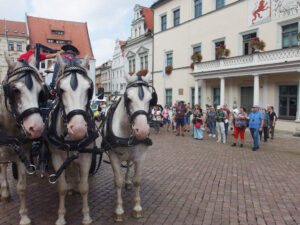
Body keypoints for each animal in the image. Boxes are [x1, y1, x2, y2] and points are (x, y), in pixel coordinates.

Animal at [0, 53, 44, 225]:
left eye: (41, 91)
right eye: (15, 90)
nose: (36, 127)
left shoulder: (22, 155)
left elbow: (22, 187)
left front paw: (24, 216)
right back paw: (5, 193)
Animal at [46, 55, 97, 225]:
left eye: (89, 89)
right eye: (60, 90)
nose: (79, 129)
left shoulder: (87, 157)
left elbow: (84, 186)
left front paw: (86, 216)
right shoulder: (56, 157)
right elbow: (61, 187)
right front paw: (61, 217)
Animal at [103, 72, 156, 221]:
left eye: (151, 100)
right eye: (129, 99)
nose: (142, 131)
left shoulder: (141, 157)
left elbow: (137, 180)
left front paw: (137, 208)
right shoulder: (114, 157)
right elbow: (117, 182)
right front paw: (119, 210)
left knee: (127, 165)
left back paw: (128, 182)